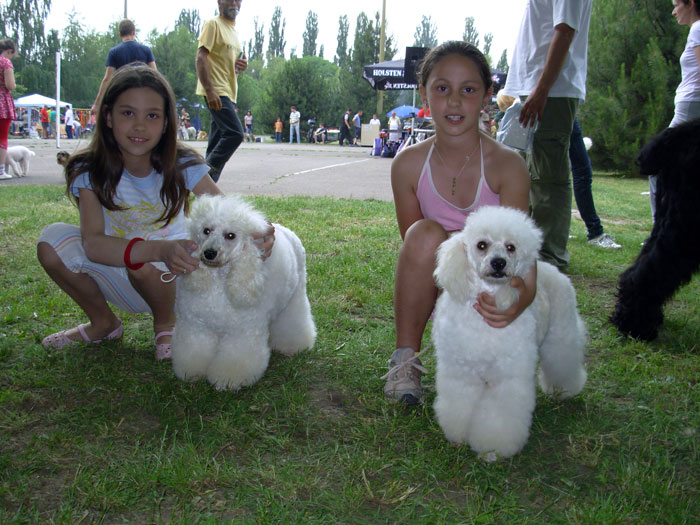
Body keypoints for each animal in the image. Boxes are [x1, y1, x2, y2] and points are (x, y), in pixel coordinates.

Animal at [171, 194, 316, 391]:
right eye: (206, 230)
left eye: (230, 236)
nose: (209, 253)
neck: (220, 281)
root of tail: (284, 228)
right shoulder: (196, 326)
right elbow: (194, 350)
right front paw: (191, 372)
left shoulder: (243, 331)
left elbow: (237, 357)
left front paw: (228, 380)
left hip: (296, 296)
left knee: (294, 318)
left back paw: (294, 344)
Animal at [432, 206, 588, 461]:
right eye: (481, 245)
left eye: (511, 247)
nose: (498, 263)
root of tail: (551, 269)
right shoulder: (461, 371)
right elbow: (460, 405)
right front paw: (458, 436)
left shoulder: (507, 376)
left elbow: (499, 416)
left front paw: (493, 450)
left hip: (560, 337)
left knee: (564, 363)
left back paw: (565, 390)